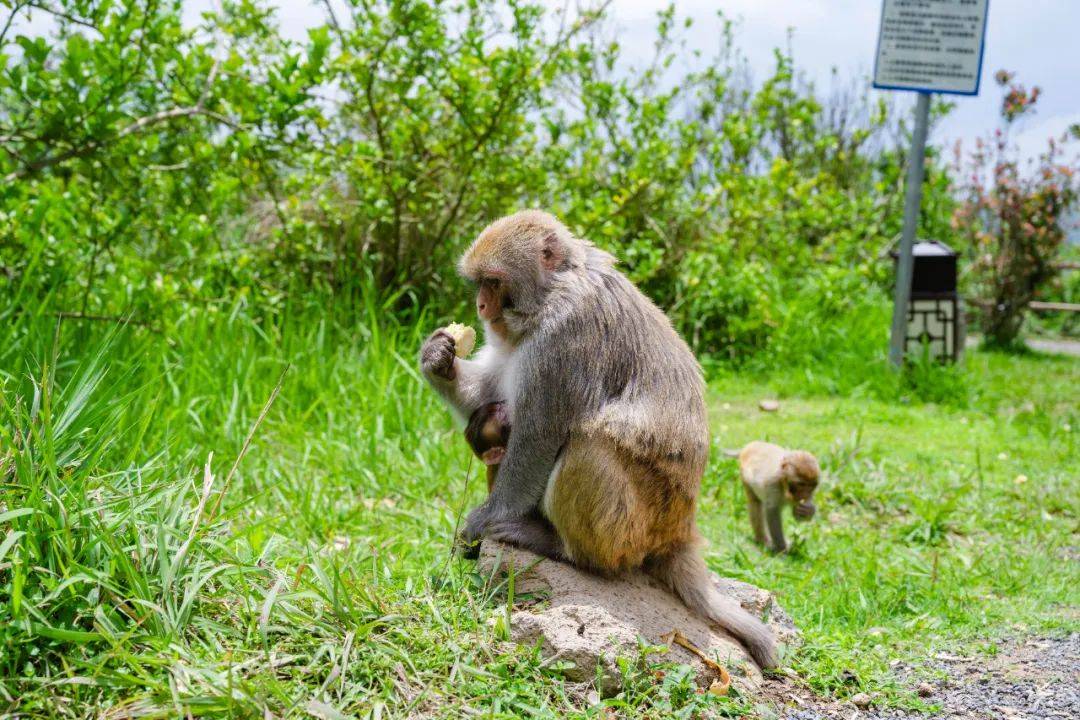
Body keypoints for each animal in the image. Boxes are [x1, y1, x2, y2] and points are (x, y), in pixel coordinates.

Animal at [416, 208, 781, 669]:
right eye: (479, 283)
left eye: (494, 282)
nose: (481, 307)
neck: (554, 291)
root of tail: (679, 531)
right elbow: (490, 395)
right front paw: (438, 359)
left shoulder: (564, 337)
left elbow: (538, 435)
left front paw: (485, 518)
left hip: (634, 527)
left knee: (590, 443)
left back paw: (564, 548)